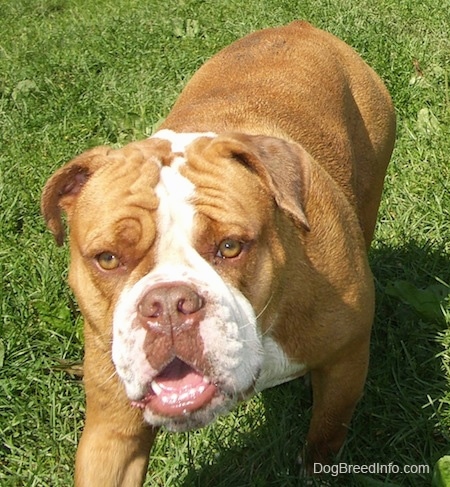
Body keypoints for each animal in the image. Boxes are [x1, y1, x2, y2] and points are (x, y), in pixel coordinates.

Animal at [40, 21, 396, 486]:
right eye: (108, 258)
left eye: (230, 246)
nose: (168, 305)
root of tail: (298, 26)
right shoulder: (112, 431)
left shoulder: (346, 362)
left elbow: (325, 433)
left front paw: (315, 469)